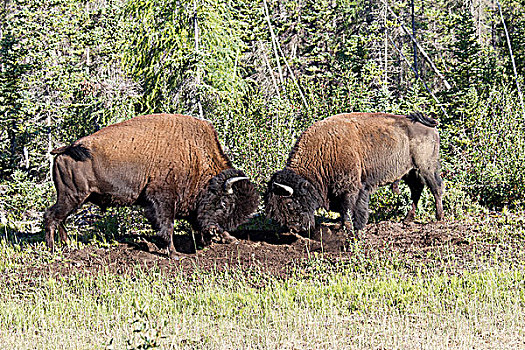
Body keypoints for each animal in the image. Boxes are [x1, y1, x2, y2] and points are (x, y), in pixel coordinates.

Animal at [44, 114, 258, 258]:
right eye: (224, 203)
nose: (214, 230)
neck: (193, 153)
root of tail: (66, 149)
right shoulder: (162, 200)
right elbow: (167, 227)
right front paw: (175, 254)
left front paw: (228, 239)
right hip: (73, 196)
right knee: (52, 217)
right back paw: (53, 249)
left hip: (72, 198)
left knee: (59, 218)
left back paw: (66, 245)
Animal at [266, 112, 442, 235]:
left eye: (289, 203)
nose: (295, 228)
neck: (322, 151)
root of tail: (429, 125)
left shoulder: (350, 188)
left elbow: (349, 208)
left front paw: (349, 228)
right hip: (410, 172)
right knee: (416, 192)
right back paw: (407, 220)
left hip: (426, 168)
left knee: (436, 188)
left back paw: (439, 218)